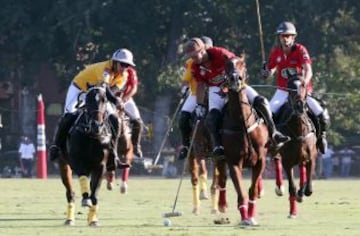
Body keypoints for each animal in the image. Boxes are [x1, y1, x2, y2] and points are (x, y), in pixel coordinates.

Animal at [221, 56, 268, 226]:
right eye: (227, 65)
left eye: (243, 64)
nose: (235, 78)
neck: (242, 122)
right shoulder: (234, 162)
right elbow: (241, 192)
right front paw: (244, 218)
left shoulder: (260, 160)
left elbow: (252, 190)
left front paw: (251, 217)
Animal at [274, 72, 316, 218]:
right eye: (289, 85)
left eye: (303, 84)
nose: (299, 105)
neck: (298, 130)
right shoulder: (287, 162)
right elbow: (292, 187)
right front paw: (293, 211)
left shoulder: (311, 157)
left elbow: (308, 187)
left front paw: (302, 193)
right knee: (276, 159)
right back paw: (279, 188)